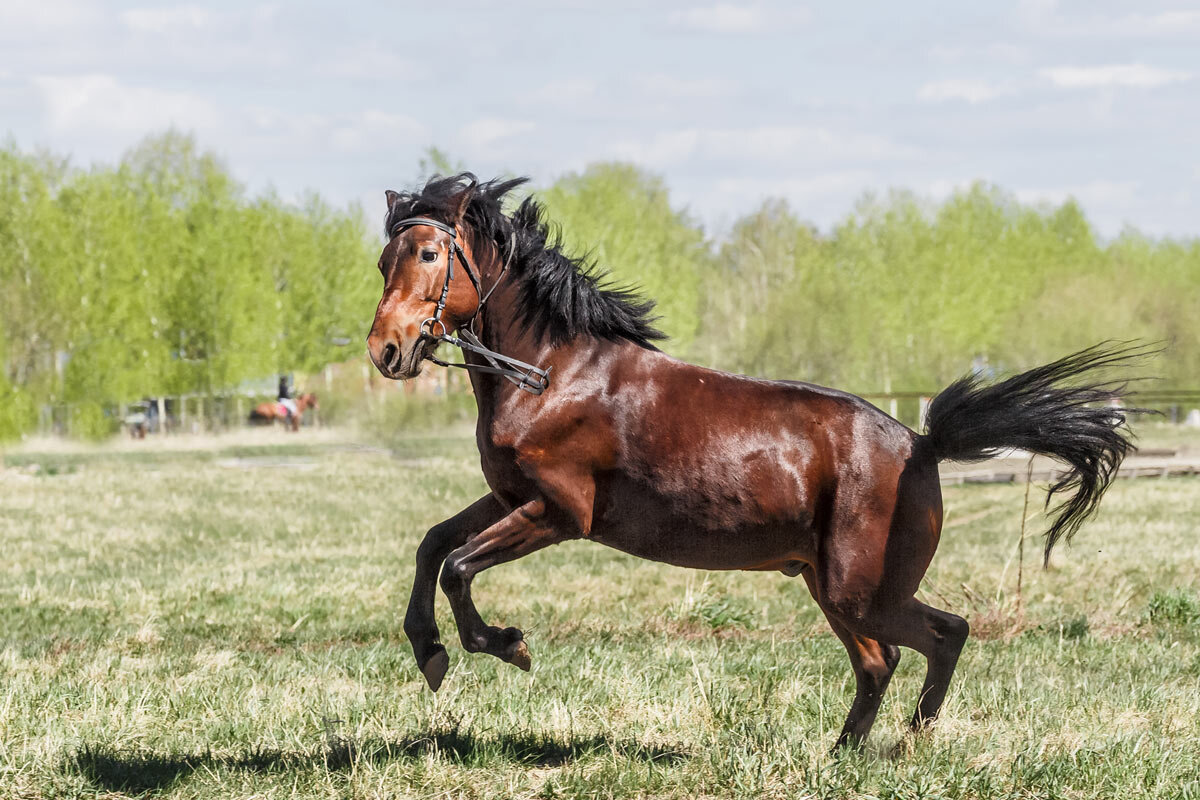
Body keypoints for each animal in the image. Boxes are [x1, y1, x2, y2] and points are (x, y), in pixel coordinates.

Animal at [364, 173, 1142, 753]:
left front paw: (505, 645)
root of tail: (921, 444)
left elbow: (459, 566)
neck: (551, 371)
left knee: (942, 635)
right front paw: (428, 649)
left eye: (429, 256)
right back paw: (842, 754)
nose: (387, 351)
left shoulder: (560, 511)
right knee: (880, 661)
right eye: (383, 262)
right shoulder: (509, 498)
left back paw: (907, 745)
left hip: (861, 591)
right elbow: (433, 545)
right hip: (830, 586)